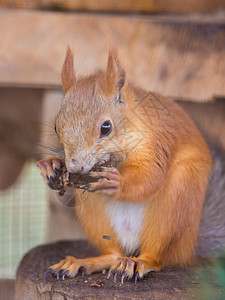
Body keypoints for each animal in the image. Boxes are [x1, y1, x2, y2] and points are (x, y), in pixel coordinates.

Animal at [37, 47, 223, 284]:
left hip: (175, 205)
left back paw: (139, 263)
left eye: (106, 127)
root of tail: (188, 248)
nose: (76, 167)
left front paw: (117, 183)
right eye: (56, 126)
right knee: (113, 254)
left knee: (158, 256)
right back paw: (84, 262)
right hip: (96, 214)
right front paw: (51, 166)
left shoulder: (154, 142)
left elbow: (150, 175)